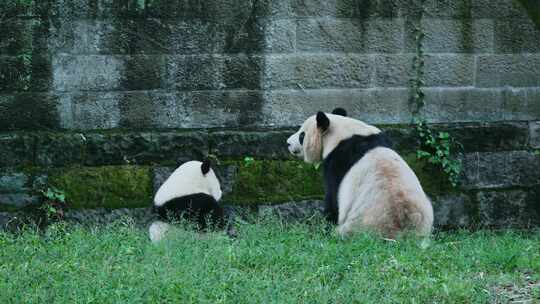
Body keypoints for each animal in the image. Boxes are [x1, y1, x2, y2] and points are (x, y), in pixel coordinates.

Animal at [286, 108, 434, 239]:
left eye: (302, 135)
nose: (288, 143)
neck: (343, 133)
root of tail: (403, 232)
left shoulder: (337, 161)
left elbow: (333, 197)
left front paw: (325, 226)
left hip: (361, 225)